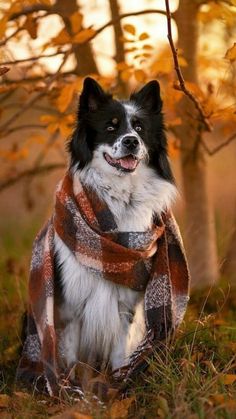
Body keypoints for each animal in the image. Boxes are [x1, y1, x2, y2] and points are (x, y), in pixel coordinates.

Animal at [52, 77, 178, 376]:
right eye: (111, 127)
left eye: (140, 128)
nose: (131, 141)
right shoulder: (71, 302)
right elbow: (70, 356)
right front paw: (70, 387)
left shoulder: (127, 302)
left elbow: (120, 351)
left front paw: (120, 381)